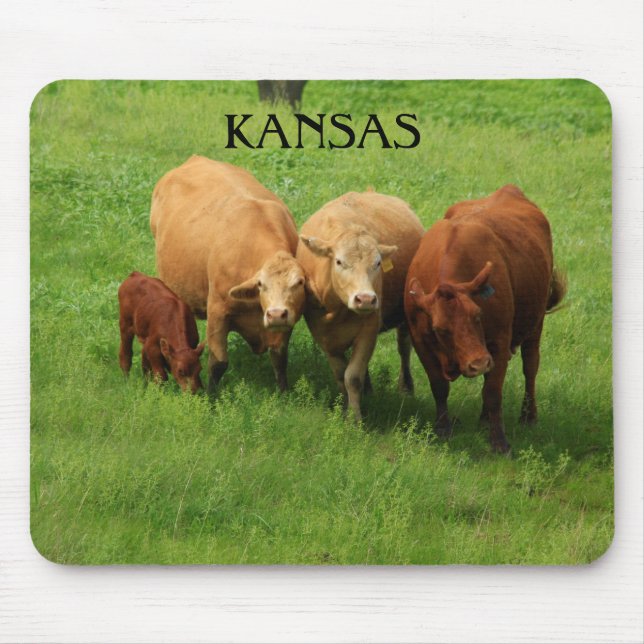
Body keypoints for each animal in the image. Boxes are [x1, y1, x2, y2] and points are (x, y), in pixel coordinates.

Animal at [150, 155, 306, 393]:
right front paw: (210, 396)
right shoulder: (217, 312)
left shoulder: (285, 324)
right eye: (261, 284)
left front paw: (283, 394)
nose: (277, 314)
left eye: (299, 283)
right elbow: (218, 362)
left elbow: (279, 358)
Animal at [297, 191, 425, 421]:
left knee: (404, 347)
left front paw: (354, 418)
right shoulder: (323, 335)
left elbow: (353, 376)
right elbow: (341, 375)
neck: (337, 310)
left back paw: (405, 388)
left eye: (377, 263)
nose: (365, 299)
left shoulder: (369, 329)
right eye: (339, 262)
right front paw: (344, 408)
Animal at [404, 184, 566, 453]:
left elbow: (492, 392)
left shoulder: (498, 342)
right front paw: (442, 429)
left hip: (535, 324)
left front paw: (499, 442)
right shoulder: (421, 341)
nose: (478, 363)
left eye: (478, 315)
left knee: (530, 366)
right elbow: (439, 386)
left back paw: (528, 416)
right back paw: (483, 419)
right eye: (440, 329)